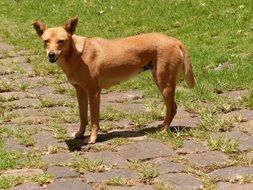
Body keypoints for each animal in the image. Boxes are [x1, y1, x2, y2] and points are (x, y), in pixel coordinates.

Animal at [32, 17, 195, 143]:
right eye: (46, 41)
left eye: (61, 41)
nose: (51, 55)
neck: (77, 54)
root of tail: (175, 41)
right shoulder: (80, 91)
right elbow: (83, 116)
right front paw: (79, 134)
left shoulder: (94, 92)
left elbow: (94, 119)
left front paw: (92, 139)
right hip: (160, 81)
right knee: (172, 107)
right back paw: (162, 126)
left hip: (164, 84)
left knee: (172, 108)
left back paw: (164, 130)